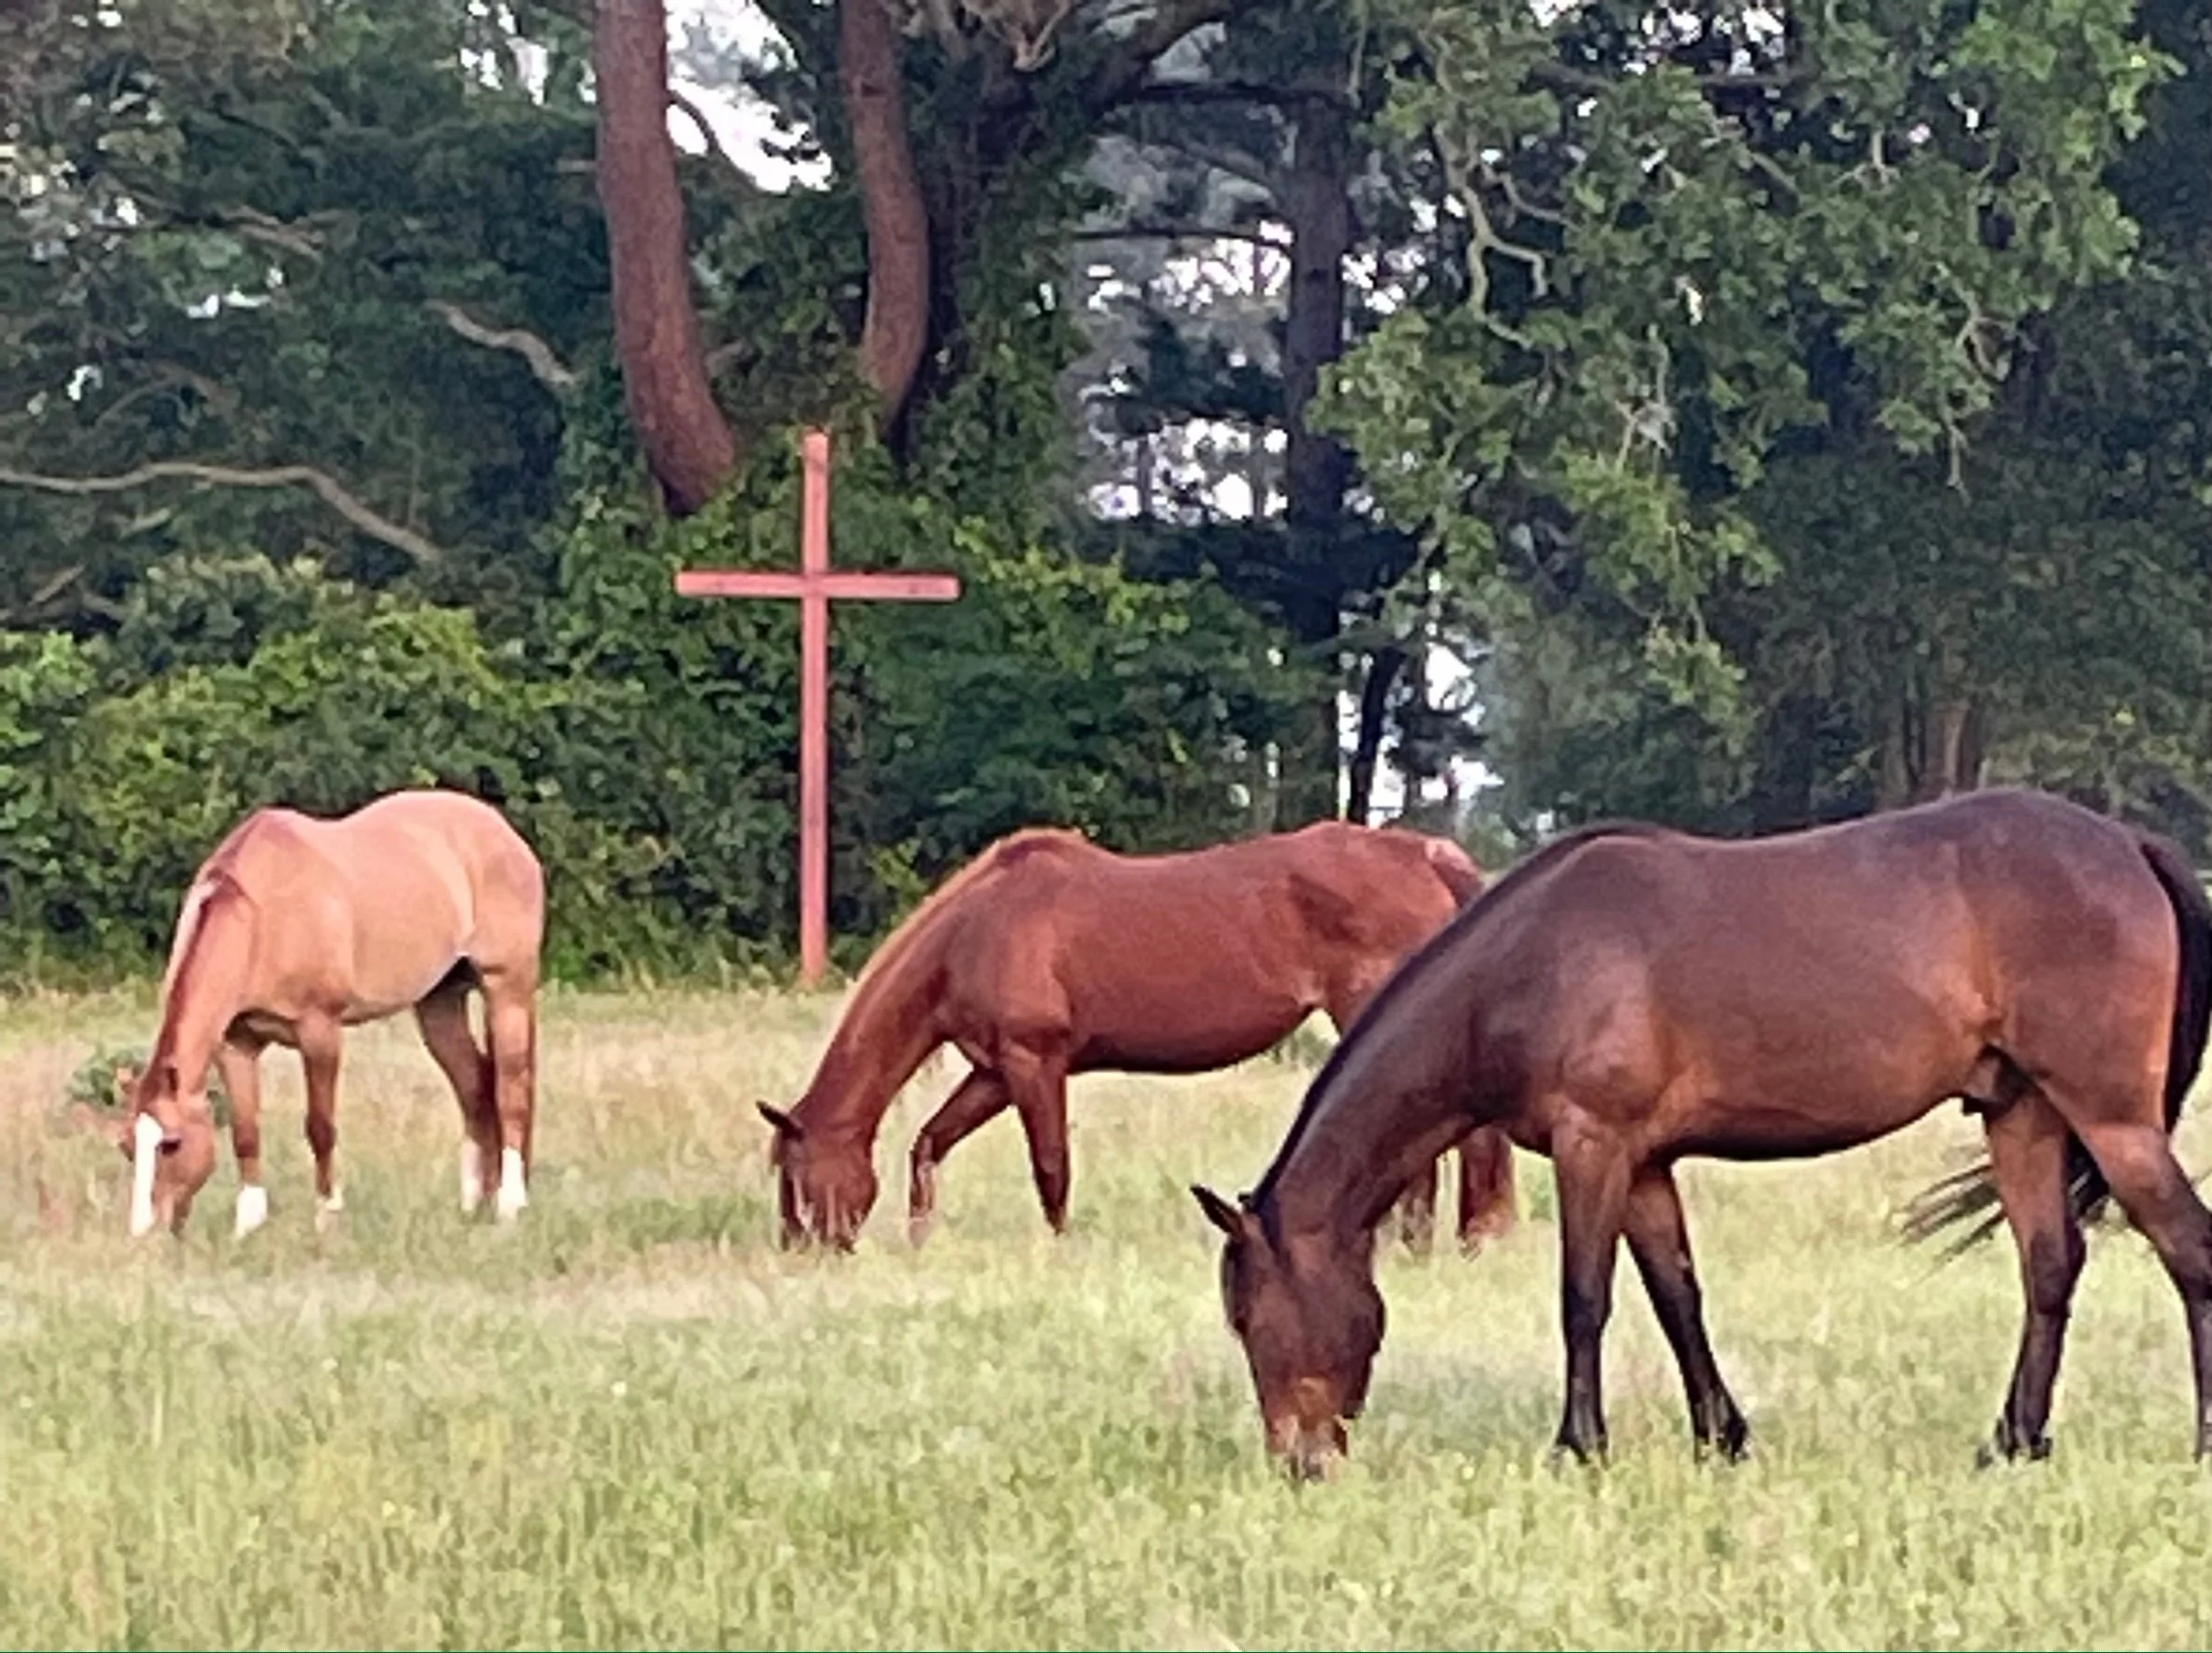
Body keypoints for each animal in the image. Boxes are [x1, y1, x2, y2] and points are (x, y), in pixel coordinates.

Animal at [110, 788, 545, 1238]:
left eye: (172, 1143)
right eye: (127, 1146)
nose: (145, 1234)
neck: (262, 915)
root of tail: (503, 831)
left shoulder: (319, 1032)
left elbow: (320, 1128)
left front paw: (327, 1217)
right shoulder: (236, 1044)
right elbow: (246, 1131)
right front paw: (248, 1226)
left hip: (506, 990)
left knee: (511, 1091)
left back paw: (509, 1206)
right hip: (439, 1004)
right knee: (475, 1088)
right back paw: (473, 1205)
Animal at [759, 820, 1520, 1252]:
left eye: (794, 1176)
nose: (803, 1250)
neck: (976, 931)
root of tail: (1422, 855)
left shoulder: (1035, 1064)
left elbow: (1052, 1166)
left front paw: (1060, 1250)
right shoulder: (995, 1073)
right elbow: (928, 1145)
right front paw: (921, 1238)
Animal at [1195, 789, 2212, 1480]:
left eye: (1251, 1316)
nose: (1299, 1463)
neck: (1526, 962)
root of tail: (2126, 842)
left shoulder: (1594, 1144)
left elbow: (1585, 1299)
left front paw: (1579, 1446)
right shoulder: (1645, 1163)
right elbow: (1676, 1296)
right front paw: (1722, 1438)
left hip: (2109, 1117)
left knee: (2188, 1252)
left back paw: (2196, 1441)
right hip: (2023, 1114)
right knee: (2049, 1267)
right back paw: (2012, 1441)